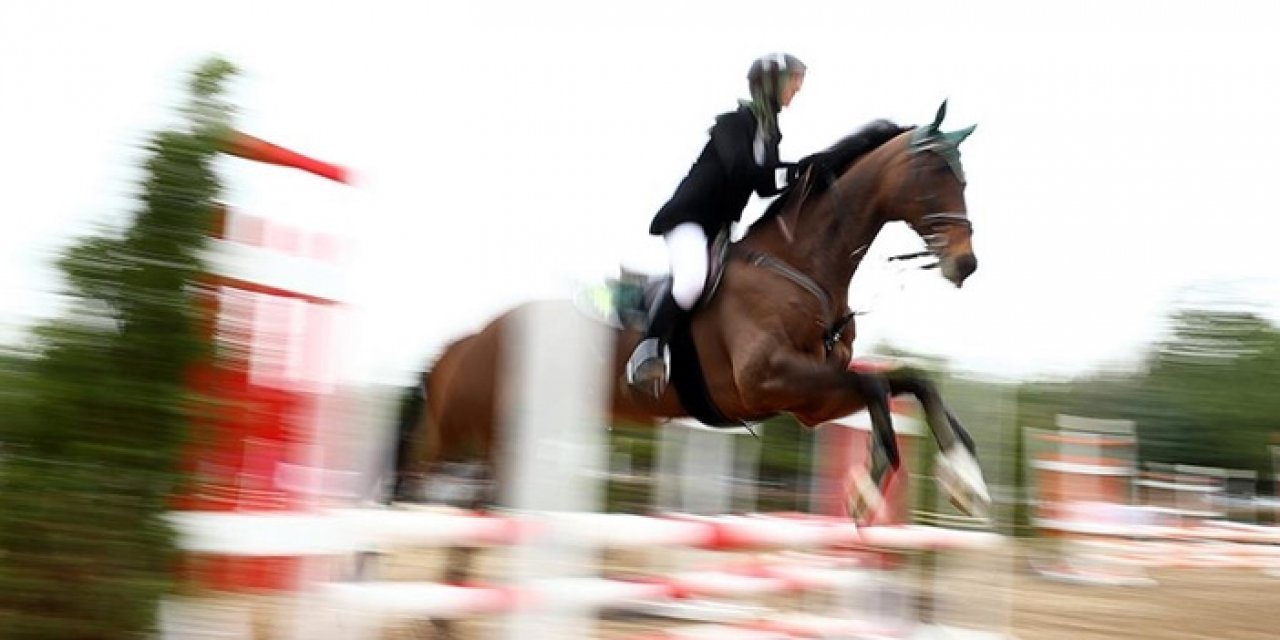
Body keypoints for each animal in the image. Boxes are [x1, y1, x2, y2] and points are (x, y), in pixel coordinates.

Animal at [389, 102, 988, 522]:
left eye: (964, 178)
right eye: (934, 176)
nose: (966, 263)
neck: (800, 267)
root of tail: (464, 341)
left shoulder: (810, 400)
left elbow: (912, 380)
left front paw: (967, 481)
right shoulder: (772, 381)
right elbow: (878, 385)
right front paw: (866, 490)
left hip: (503, 437)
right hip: (453, 435)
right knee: (415, 486)